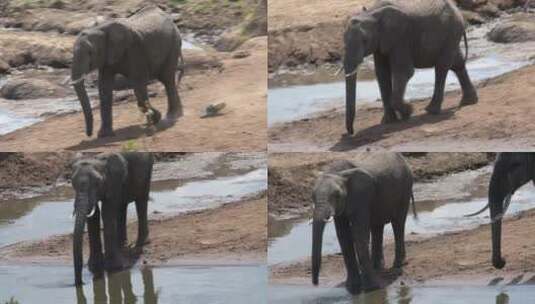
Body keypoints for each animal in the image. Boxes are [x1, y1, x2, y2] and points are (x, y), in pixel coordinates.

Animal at [71, 5, 185, 138]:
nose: (89, 134)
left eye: (90, 52)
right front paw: (104, 135)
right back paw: (176, 114)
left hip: (174, 43)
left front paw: (156, 117)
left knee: (167, 79)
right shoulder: (107, 58)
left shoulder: (134, 49)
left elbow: (139, 85)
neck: (100, 29)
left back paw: (171, 116)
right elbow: (104, 88)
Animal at [72, 152, 154, 284]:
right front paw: (94, 267)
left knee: (141, 199)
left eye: (98, 182)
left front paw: (113, 268)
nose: (80, 283)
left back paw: (141, 243)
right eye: (72, 183)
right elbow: (94, 214)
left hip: (148, 169)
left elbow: (107, 211)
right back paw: (122, 245)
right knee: (122, 206)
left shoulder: (114, 180)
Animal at [312, 153, 416, 294]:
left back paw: (398, 265)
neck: (338, 172)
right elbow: (343, 236)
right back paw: (377, 267)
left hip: (405, 188)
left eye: (337, 195)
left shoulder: (361, 198)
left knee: (398, 223)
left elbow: (359, 234)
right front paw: (353, 288)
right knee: (377, 226)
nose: (315, 283)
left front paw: (371, 289)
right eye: (312, 196)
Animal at [346, 0, 480, 134]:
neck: (371, 13)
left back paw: (431, 111)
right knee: (457, 63)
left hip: (451, 32)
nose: (351, 132)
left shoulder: (400, 39)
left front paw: (409, 112)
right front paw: (388, 121)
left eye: (365, 40)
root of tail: (457, 10)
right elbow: (382, 75)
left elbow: (404, 72)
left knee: (442, 67)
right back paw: (468, 101)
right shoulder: (380, 44)